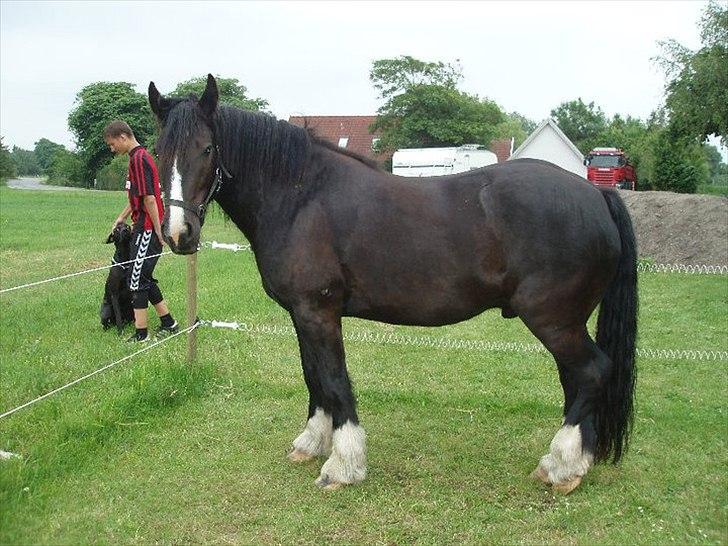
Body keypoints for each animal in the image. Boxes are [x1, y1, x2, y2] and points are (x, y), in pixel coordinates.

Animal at [148, 74, 638, 494]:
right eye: (158, 152)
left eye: (207, 149)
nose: (178, 234)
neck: (301, 196)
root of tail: (596, 195)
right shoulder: (302, 315)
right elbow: (313, 376)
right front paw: (311, 442)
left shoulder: (318, 312)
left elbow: (333, 379)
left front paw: (343, 465)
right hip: (565, 323)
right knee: (577, 380)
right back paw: (574, 463)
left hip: (553, 320)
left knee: (592, 372)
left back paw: (560, 466)